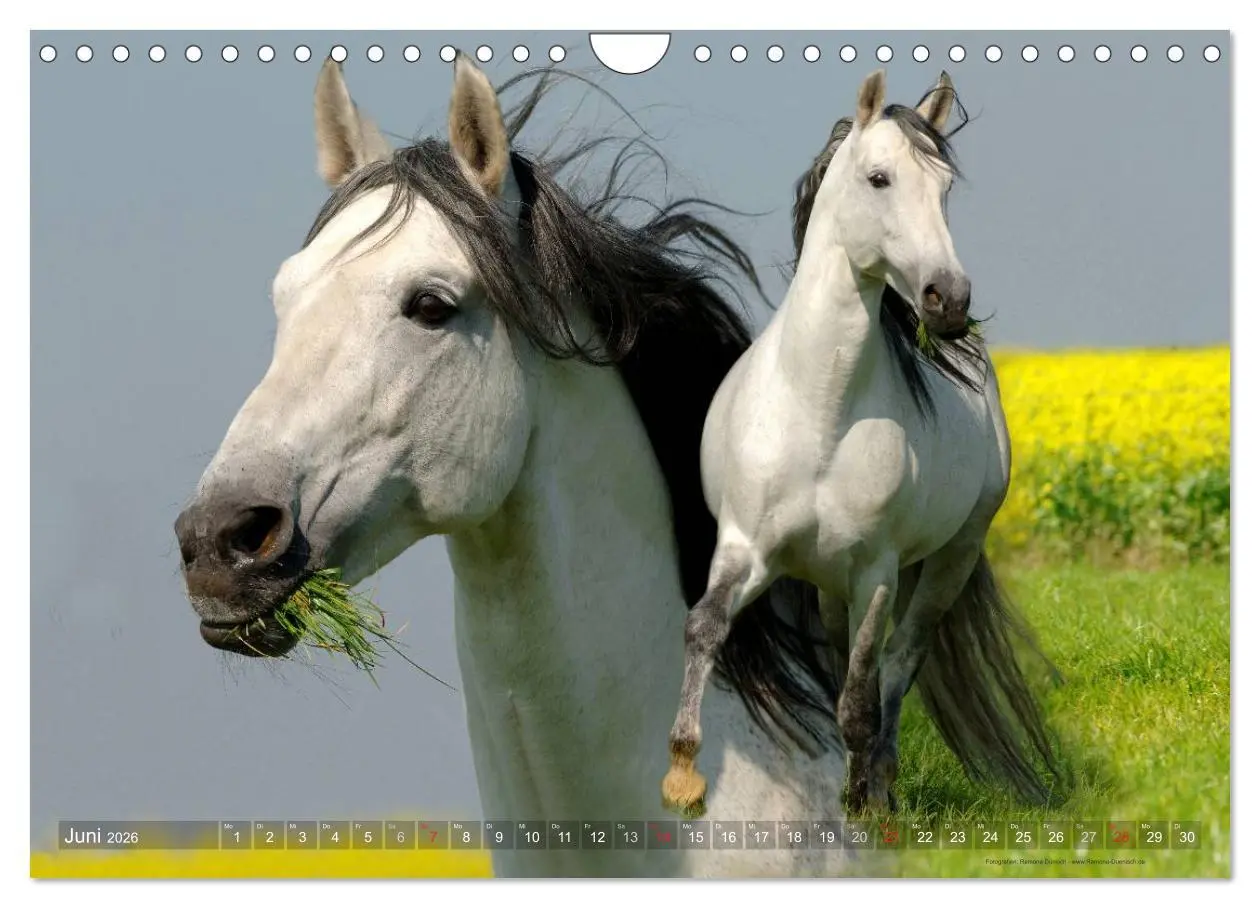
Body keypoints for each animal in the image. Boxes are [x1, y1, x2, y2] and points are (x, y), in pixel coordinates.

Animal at [661, 70, 1062, 818]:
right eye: (879, 178)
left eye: (944, 187)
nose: (948, 300)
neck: (820, 410)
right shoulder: (746, 547)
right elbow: (705, 627)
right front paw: (681, 776)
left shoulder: (876, 569)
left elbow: (859, 693)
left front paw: (862, 805)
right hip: (828, 584)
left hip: (950, 559)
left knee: (897, 664)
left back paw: (882, 781)